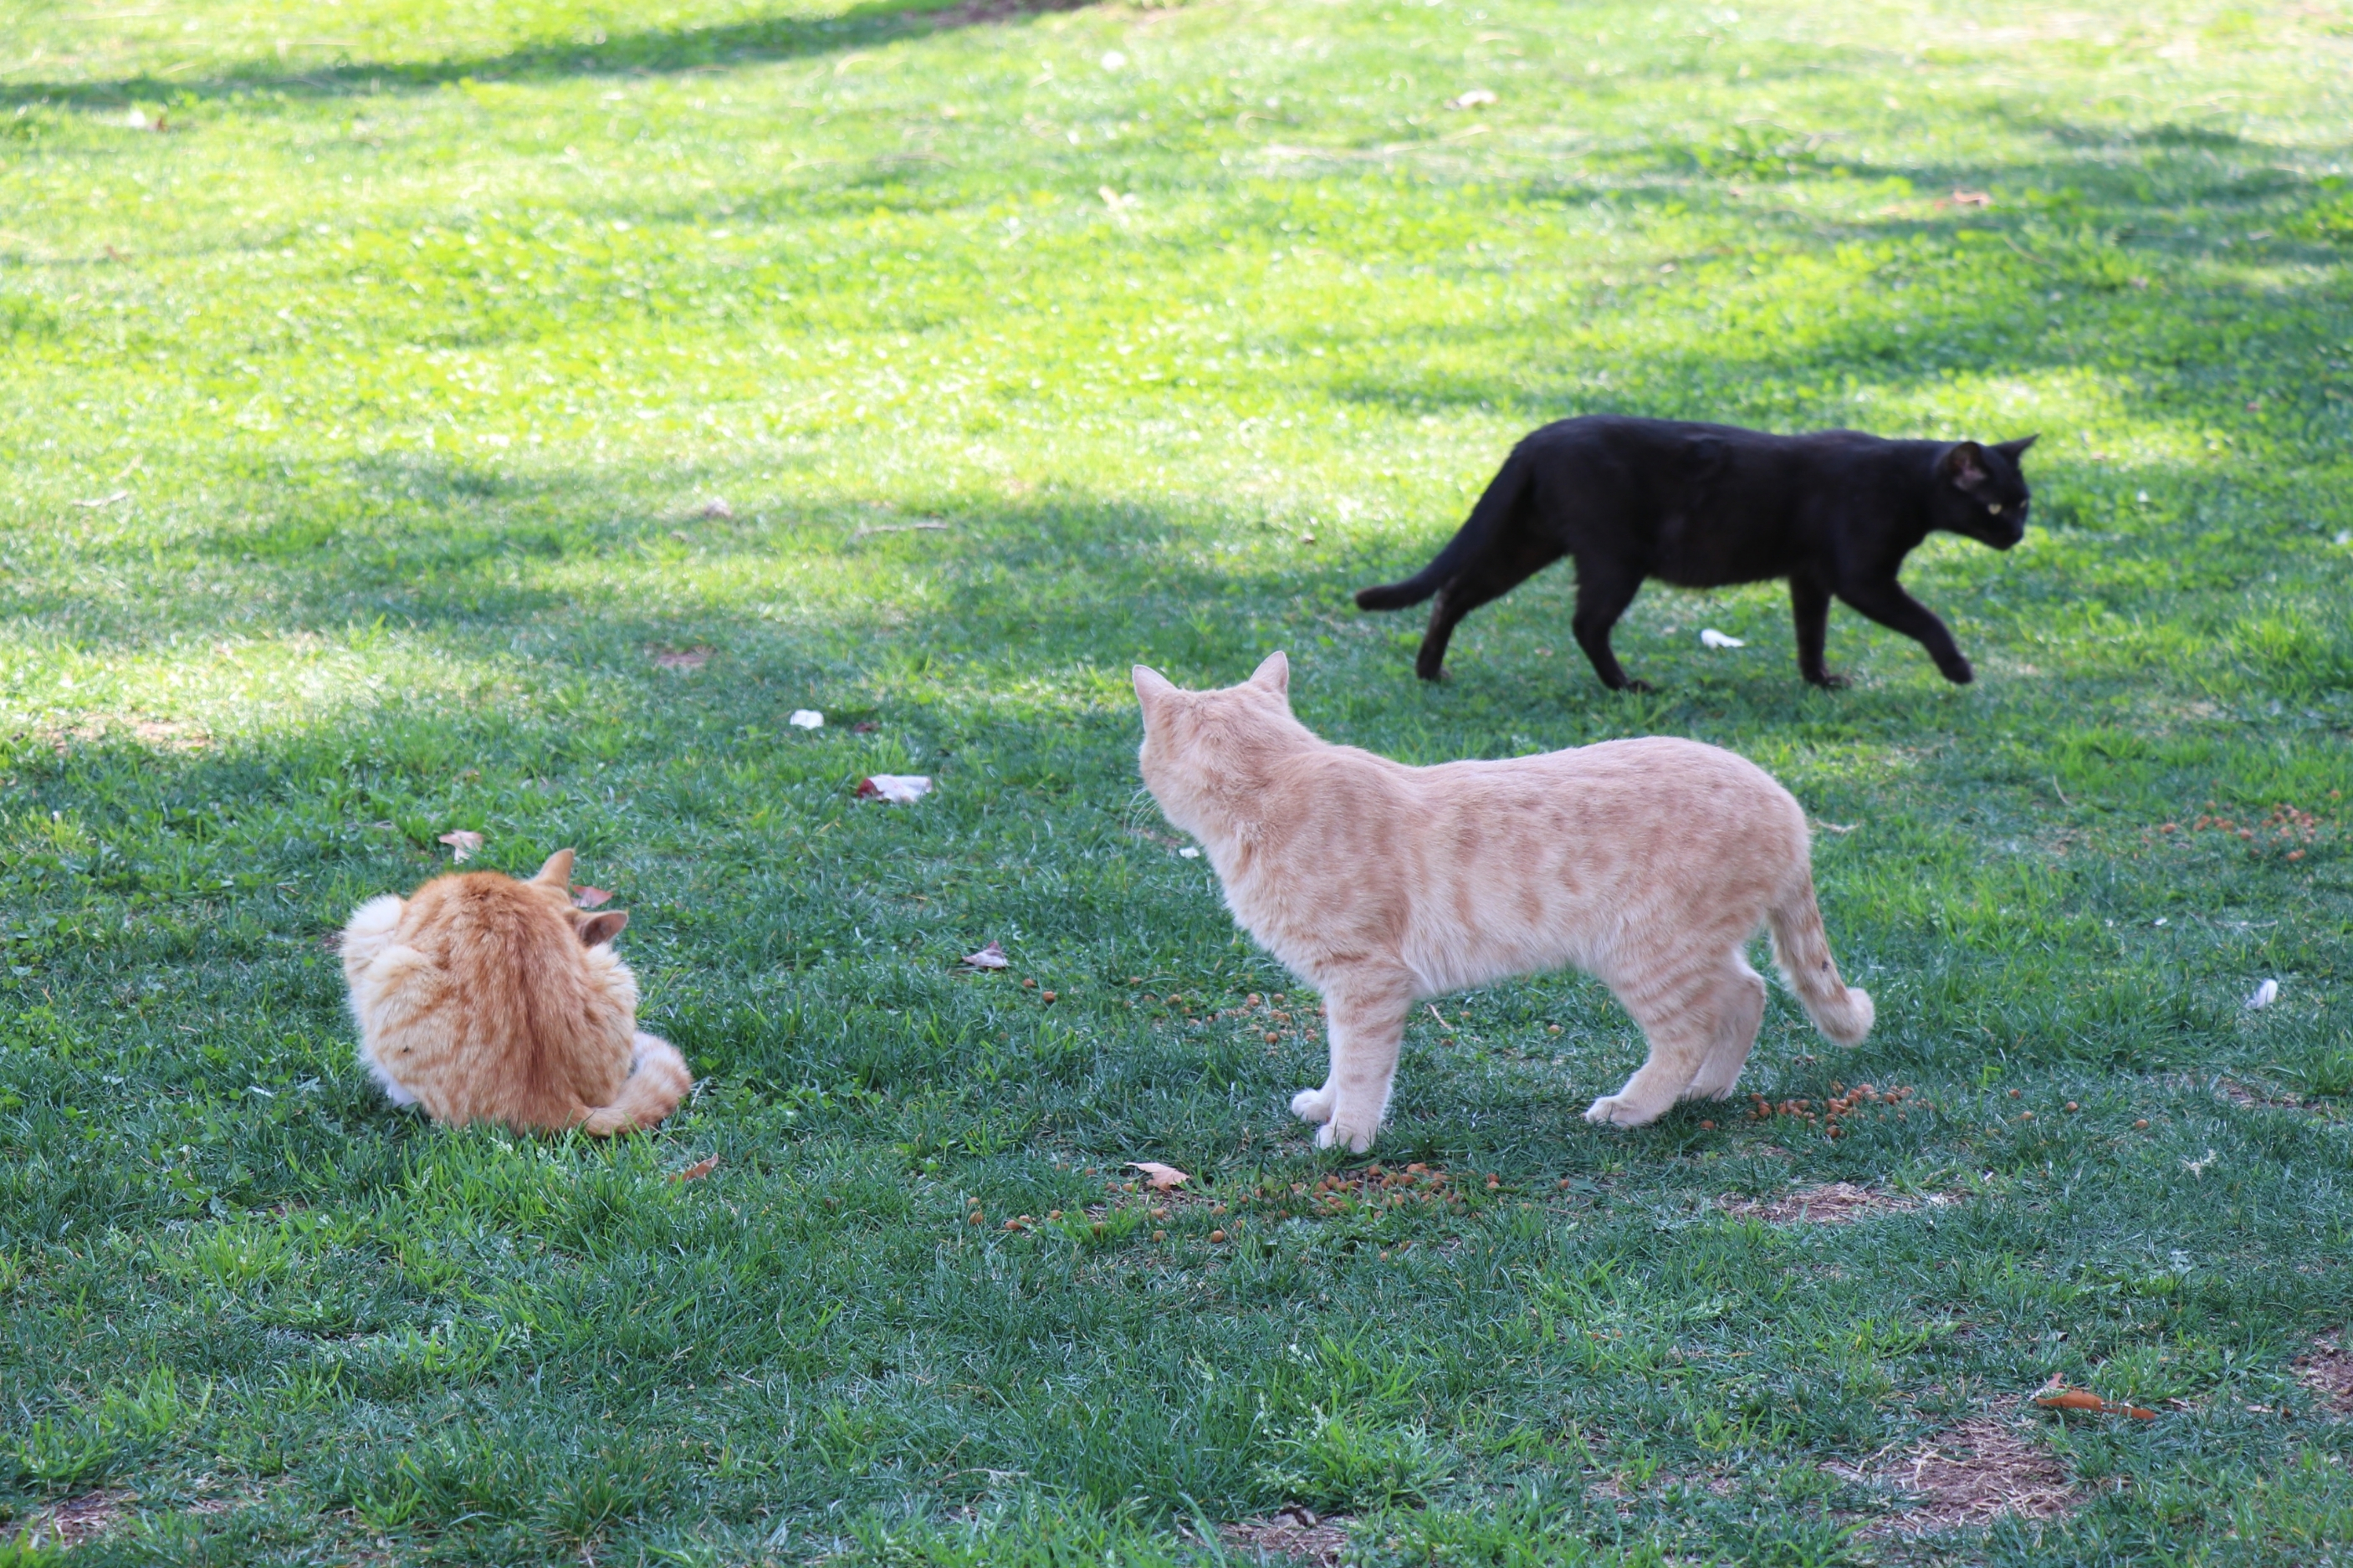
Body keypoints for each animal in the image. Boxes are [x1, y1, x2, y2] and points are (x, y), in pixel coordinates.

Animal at [1138, 648, 1873, 1152]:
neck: (1272, 782)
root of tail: (1785, 803)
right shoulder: (1343, 987)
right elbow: (1337, 1058)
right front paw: (1325, 1104)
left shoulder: (1365, 980)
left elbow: (1360, 1064)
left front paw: (1347, 1134)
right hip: (1691, 950)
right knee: (1747, 994)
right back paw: (1708, 1091)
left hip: (1645, 954)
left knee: (1689, 1030)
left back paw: (1635, 1106)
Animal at [1364, 416, 2042, 686]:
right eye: (1993, 508)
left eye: (2024, 503)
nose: (2016, 534)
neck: (1906, 485)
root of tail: (1536, 437)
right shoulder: (1863, 577)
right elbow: (1927, 619)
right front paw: (1958, 669)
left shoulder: (1810, 578)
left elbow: (1811, 634)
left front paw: (1819, 680)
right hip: (1613, 556)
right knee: (1585, 622)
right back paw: (1627, 687)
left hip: (1529, 541)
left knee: (1454, 592)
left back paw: (1430, 671)